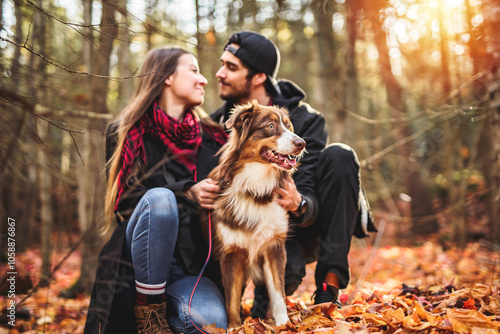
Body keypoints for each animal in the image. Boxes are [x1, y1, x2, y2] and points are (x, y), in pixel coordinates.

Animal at [206, 100, 304, 328]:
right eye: (270, 126)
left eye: (288, 125)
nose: (302, 143)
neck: (256, 189)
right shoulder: (231, 253)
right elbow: (232, 298)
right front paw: (234, 327)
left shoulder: (274, 247)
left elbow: (278, 291)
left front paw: (284, 325)